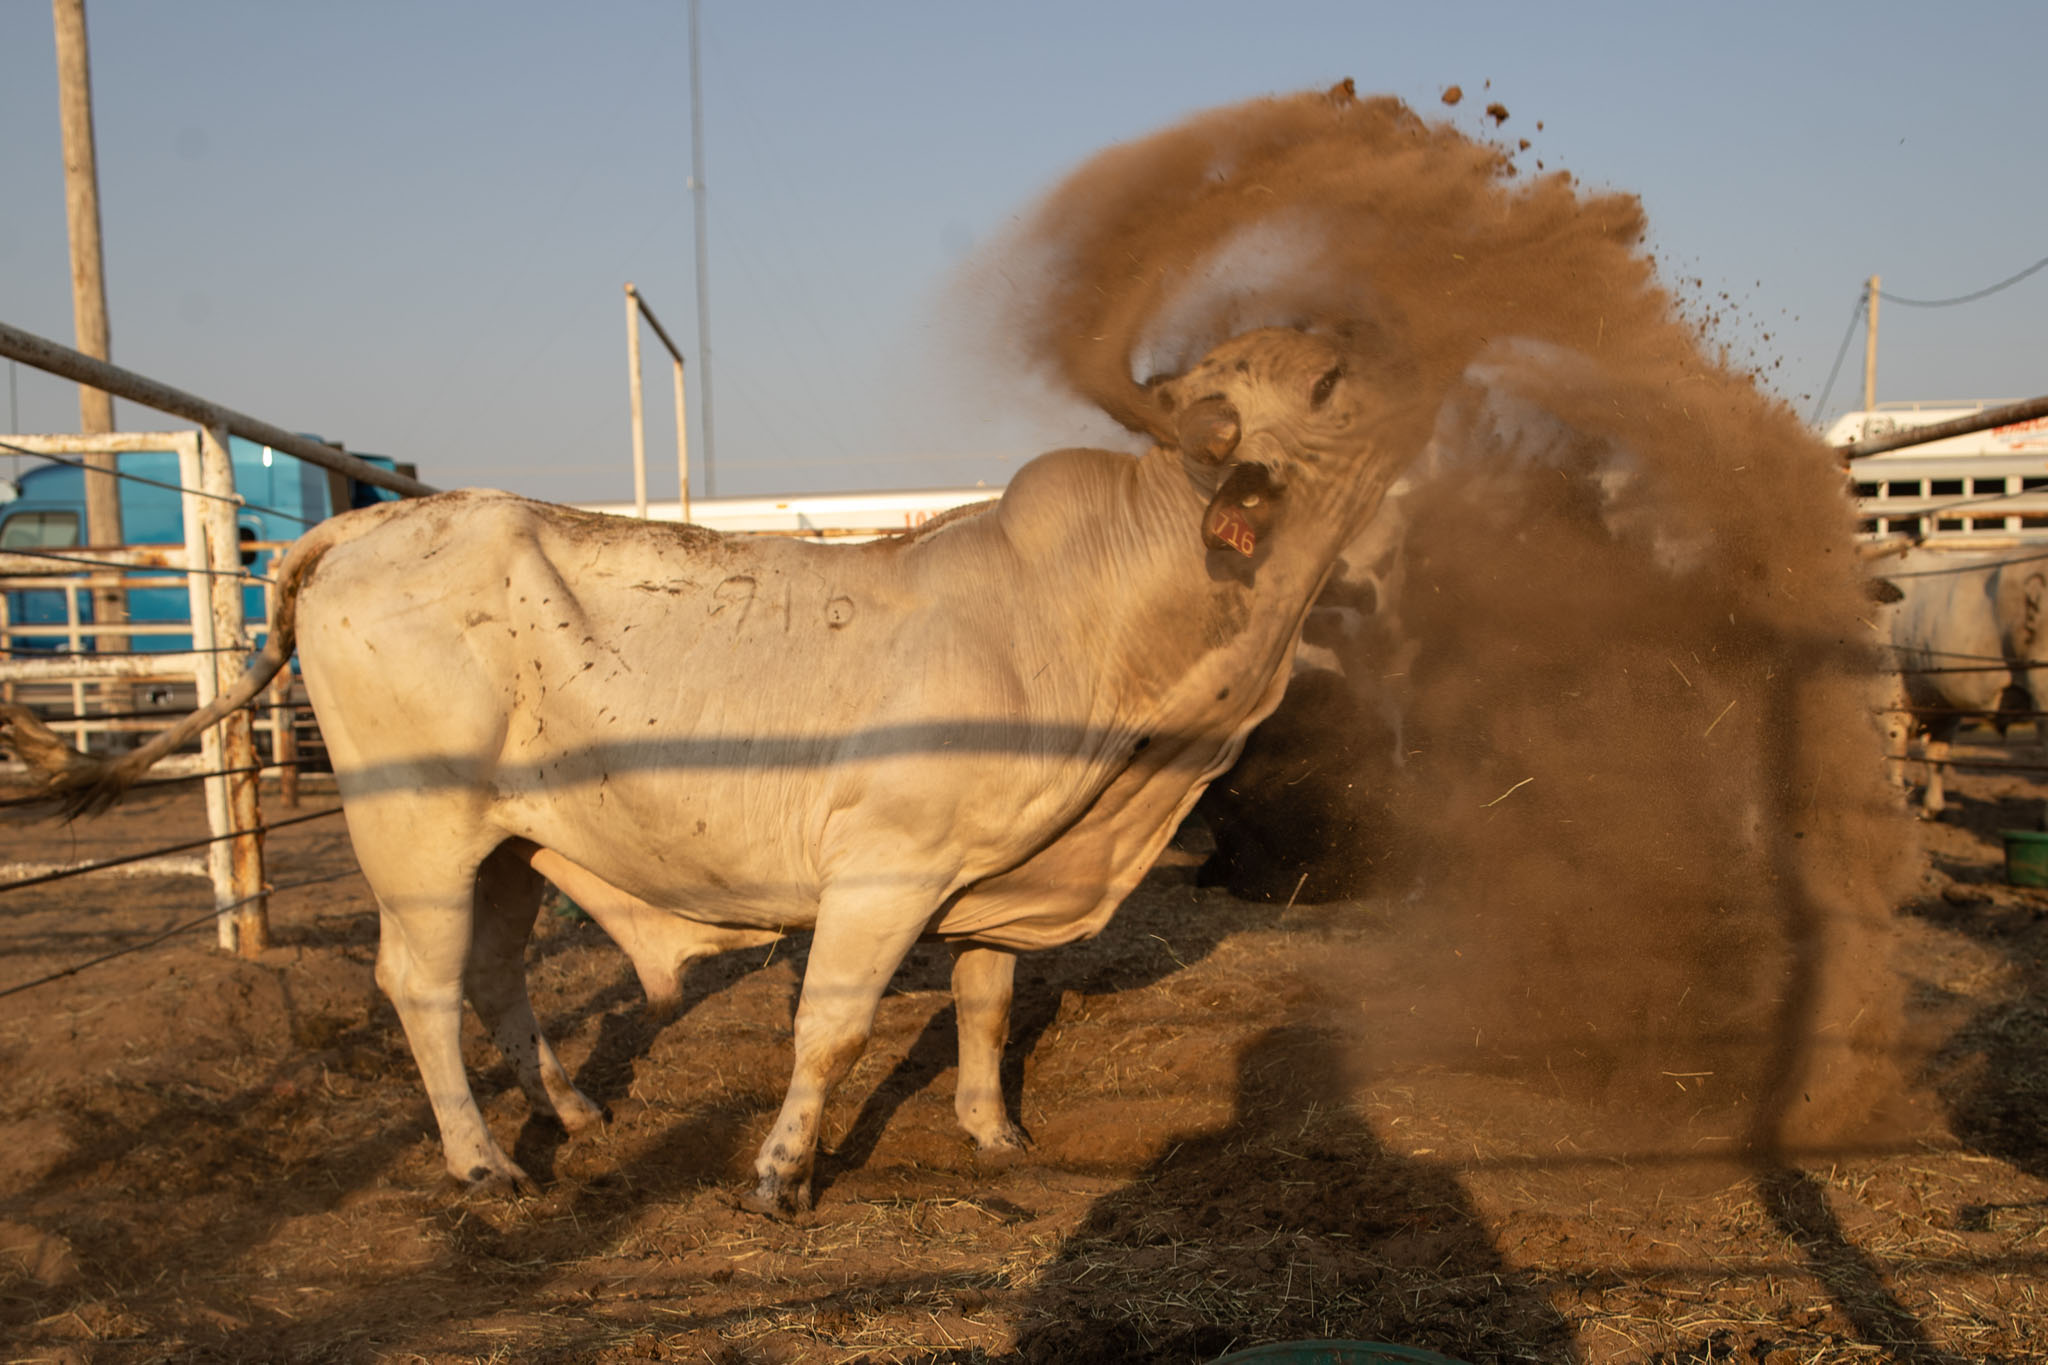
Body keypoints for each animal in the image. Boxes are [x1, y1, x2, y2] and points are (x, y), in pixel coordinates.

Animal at [8, 327, 1414, 1213]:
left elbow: (982, 1002)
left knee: (498, 971)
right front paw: (783, 1175)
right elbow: (832, 1029)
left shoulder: (993, 869)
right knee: (417, 982)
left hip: (514, 842)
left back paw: (571, 1112)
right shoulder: (884, 871)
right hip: (417, 834)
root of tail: (370, 522)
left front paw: (993, 1131)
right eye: (1324, 377)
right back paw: (482, 1166)